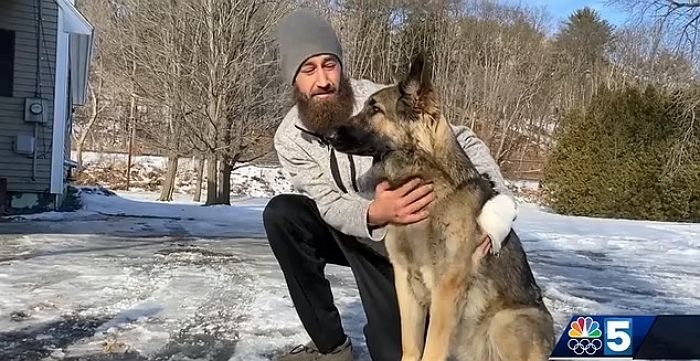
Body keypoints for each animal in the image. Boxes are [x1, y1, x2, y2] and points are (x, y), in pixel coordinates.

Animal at [326, 54, 556, 360]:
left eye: (374, 109)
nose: (327, 134)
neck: (428, 180)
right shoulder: (405, 282)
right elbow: (411, 347)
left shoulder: (446, 289)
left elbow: (431, 350)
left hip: (504, 322)